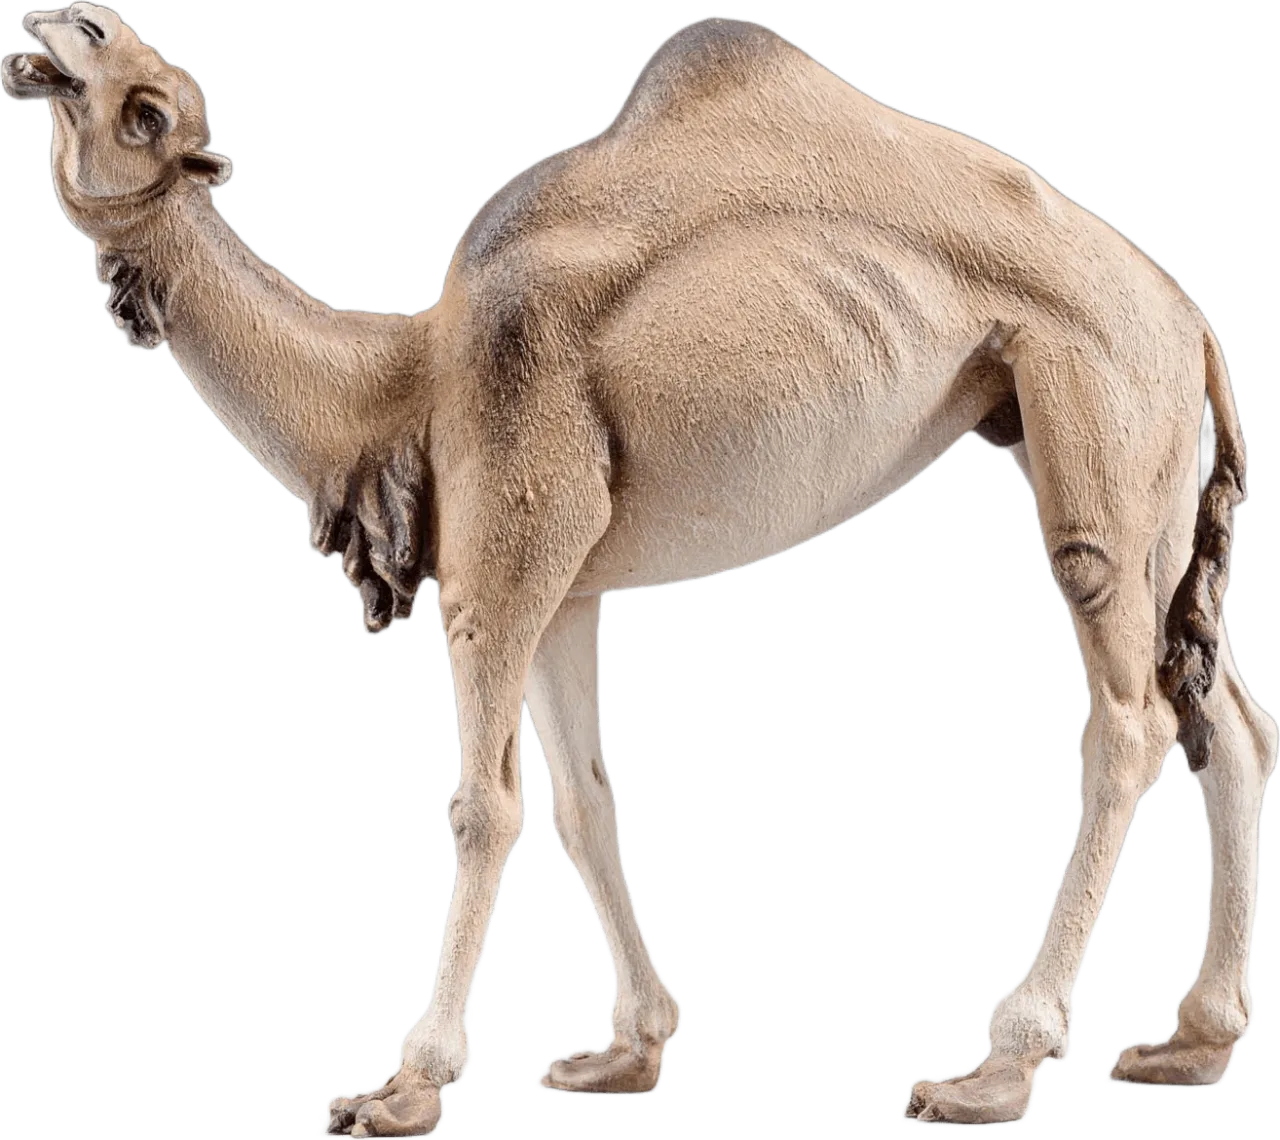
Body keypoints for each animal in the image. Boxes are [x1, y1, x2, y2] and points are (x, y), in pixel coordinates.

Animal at [4, 4, 1276, 1134]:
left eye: (148, 106)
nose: (74, 18)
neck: (395, 386)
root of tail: (1193, 322)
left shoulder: (503, 553)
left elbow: (486, 806)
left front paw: (406, 1085)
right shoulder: (562, 584)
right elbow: (582, 803)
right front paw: (626, 1048)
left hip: (1091, 408)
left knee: (1127, 715)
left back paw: (998, 1066)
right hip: (1152, 465)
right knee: (1224, 716)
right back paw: (1189, 1042)